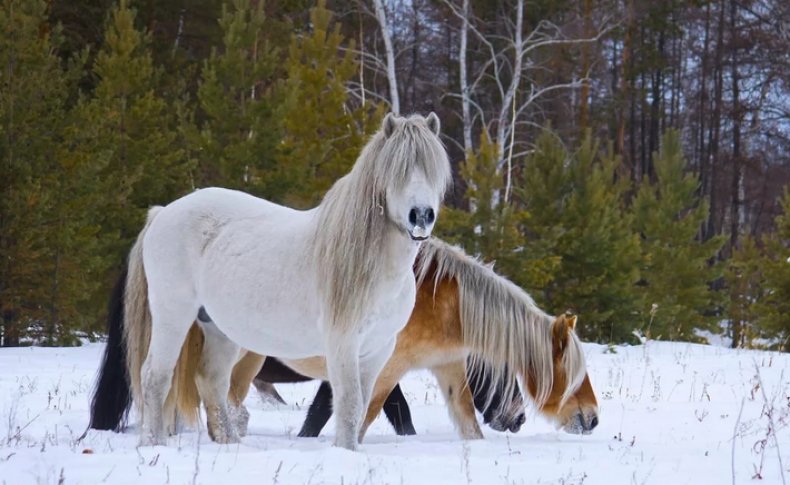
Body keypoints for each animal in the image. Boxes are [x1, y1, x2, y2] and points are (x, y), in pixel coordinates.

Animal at [86, 111, 452, 448]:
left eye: (434, 170)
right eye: (398, 171)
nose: (421, 216)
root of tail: (163, 212)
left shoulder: (377, 350)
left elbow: (361, 408)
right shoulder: (342, 345)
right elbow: (348, 407)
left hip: (219, 329)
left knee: (211, 380)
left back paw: (229, 443)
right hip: (172, 316)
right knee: (155, 377)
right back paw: (154, 444)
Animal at [169, 236, 600, 440]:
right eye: (573, 374)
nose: (592, 418)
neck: (434, 299)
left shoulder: (447, 368)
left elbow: (463, 421)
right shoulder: (382, 370)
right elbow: (367, 415)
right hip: (243, 358)